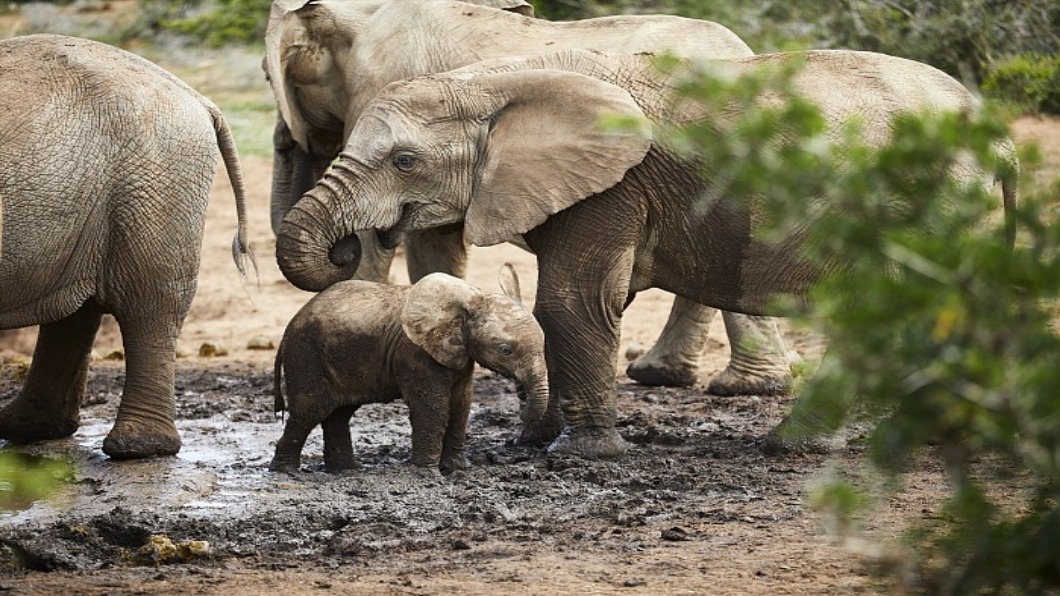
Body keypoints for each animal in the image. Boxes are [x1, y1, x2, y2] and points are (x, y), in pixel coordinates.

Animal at [0, 35, 254, 459]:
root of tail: (199, 99)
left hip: (153, 175)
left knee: (149, 302)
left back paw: (136, 448)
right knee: (77, 309)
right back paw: (26, 427)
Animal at [270, 265, 549, 474]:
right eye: (505, 349)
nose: (521, 408)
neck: (472, 299)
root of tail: (288, 327)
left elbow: (462, 404)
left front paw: (458, 470)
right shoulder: (415, 353)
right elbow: (432, 406)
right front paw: (427, 473)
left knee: (339, 414)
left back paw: (347, 470)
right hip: (306, 354)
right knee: (309, 411)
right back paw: (286, 472)